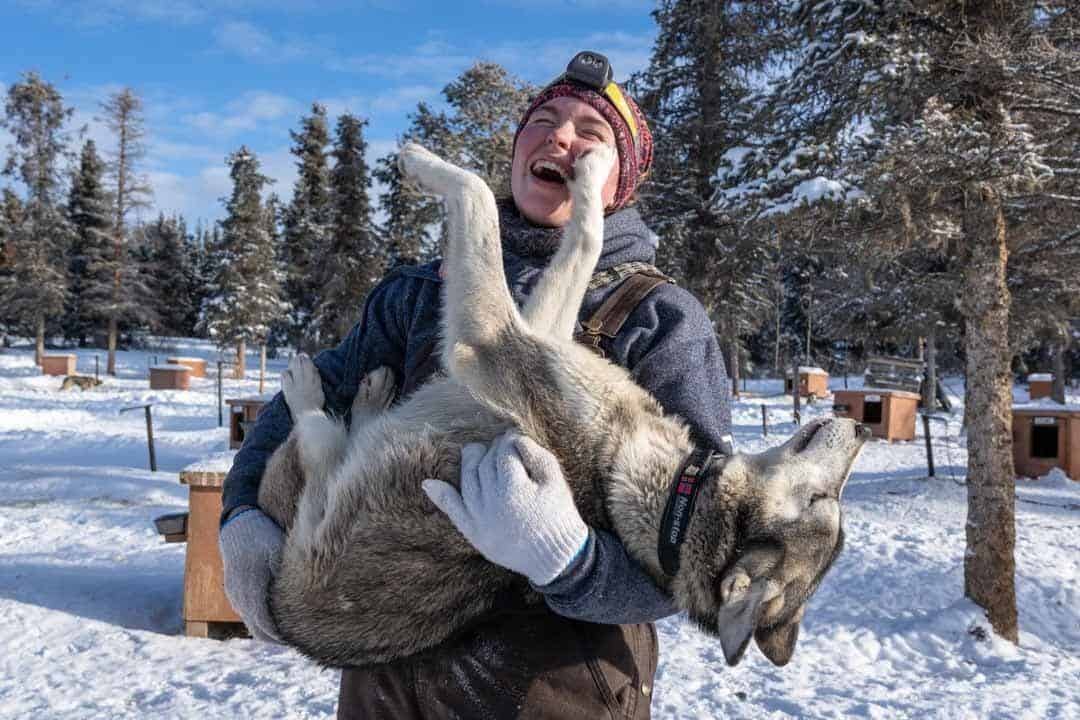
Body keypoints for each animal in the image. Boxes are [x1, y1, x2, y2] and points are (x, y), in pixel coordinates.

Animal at [257, 142, 872, 669]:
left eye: (822, 500)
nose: (861, 432)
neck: (669, 485)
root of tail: (285, 616)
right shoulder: (540, 328)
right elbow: (585, 239)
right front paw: (593, 175)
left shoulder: (490, 338)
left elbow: (478, 194)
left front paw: (422, 162)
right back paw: (371, 392)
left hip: (320, 477)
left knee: (317, 434)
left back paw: (310, 388)